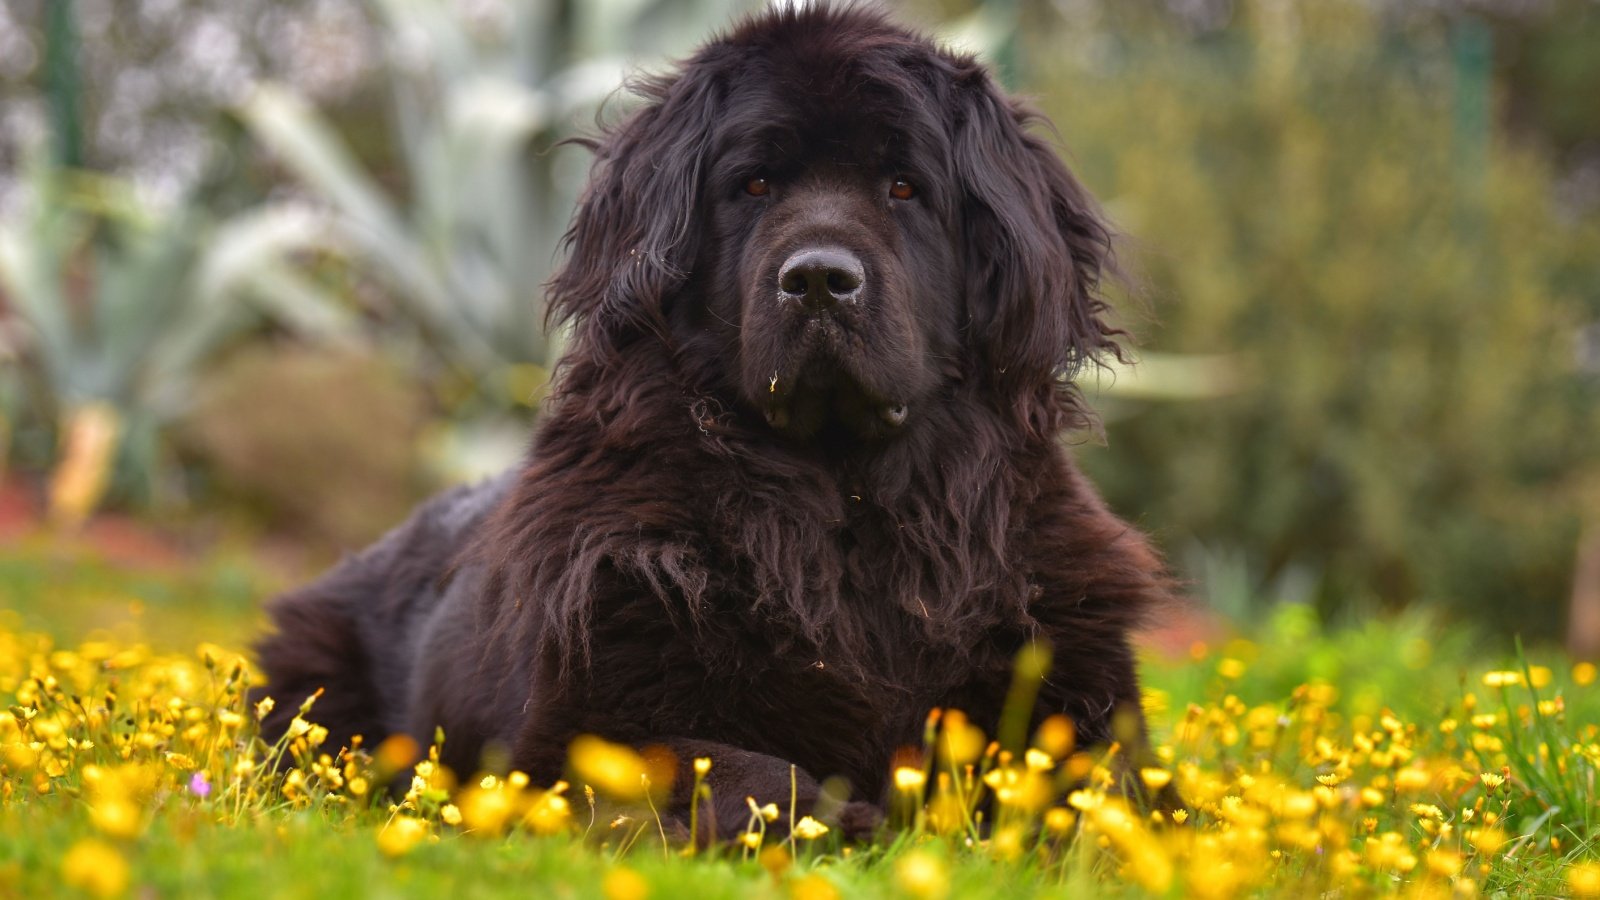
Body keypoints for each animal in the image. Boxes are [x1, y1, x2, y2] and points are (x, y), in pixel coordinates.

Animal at [252, 3, 1177, 839]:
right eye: (755, 184)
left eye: (904, 187)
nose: (818, 279)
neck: (848, 507)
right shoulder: (577, 726)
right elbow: (742, 769)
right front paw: (858, 823)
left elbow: (1114, 794)